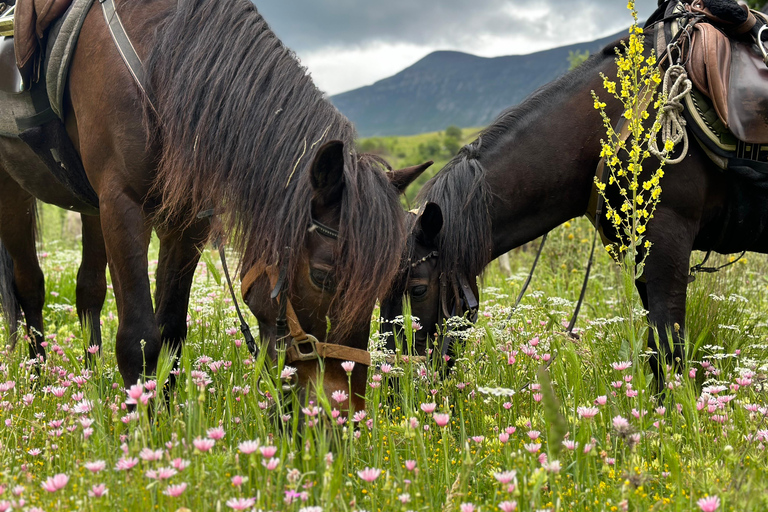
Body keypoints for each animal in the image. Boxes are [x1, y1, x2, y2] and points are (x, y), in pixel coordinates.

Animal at [0, 0, 429, 412]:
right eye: (323, 276)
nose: (342, 415)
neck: (165, 61)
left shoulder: (188, 221)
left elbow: (171, 330)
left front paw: (168, 417)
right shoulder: (122, 204)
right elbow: (138, 337)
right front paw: (142, 426)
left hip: (91, 209)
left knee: (88, 291)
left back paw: (87, 383)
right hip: (16, 193)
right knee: (30, 287)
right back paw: (39, 380)